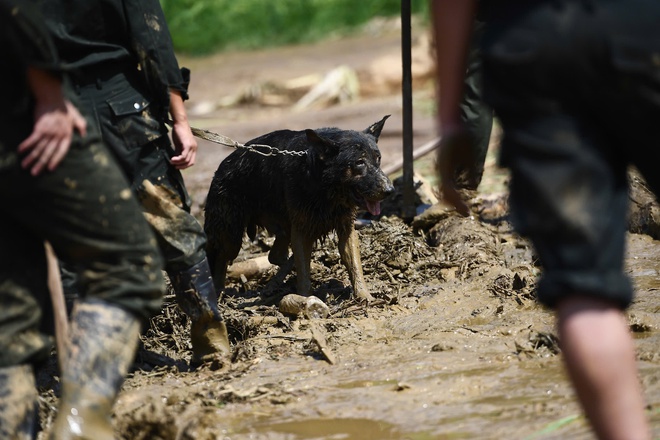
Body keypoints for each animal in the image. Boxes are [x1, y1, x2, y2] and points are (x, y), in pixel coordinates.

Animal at [204, 115, 394, 300]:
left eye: (378, 159)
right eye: (359, 162)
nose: (390, 191)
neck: (323, 186)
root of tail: (220, 168)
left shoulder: (346, 228)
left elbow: (354, 265)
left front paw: (364, 295)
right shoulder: (302, 231)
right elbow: (303, 272)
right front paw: (305, 299)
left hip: (284, 227)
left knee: (275, 255)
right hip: (231, 238)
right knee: (220, 258)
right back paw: (218, 290)